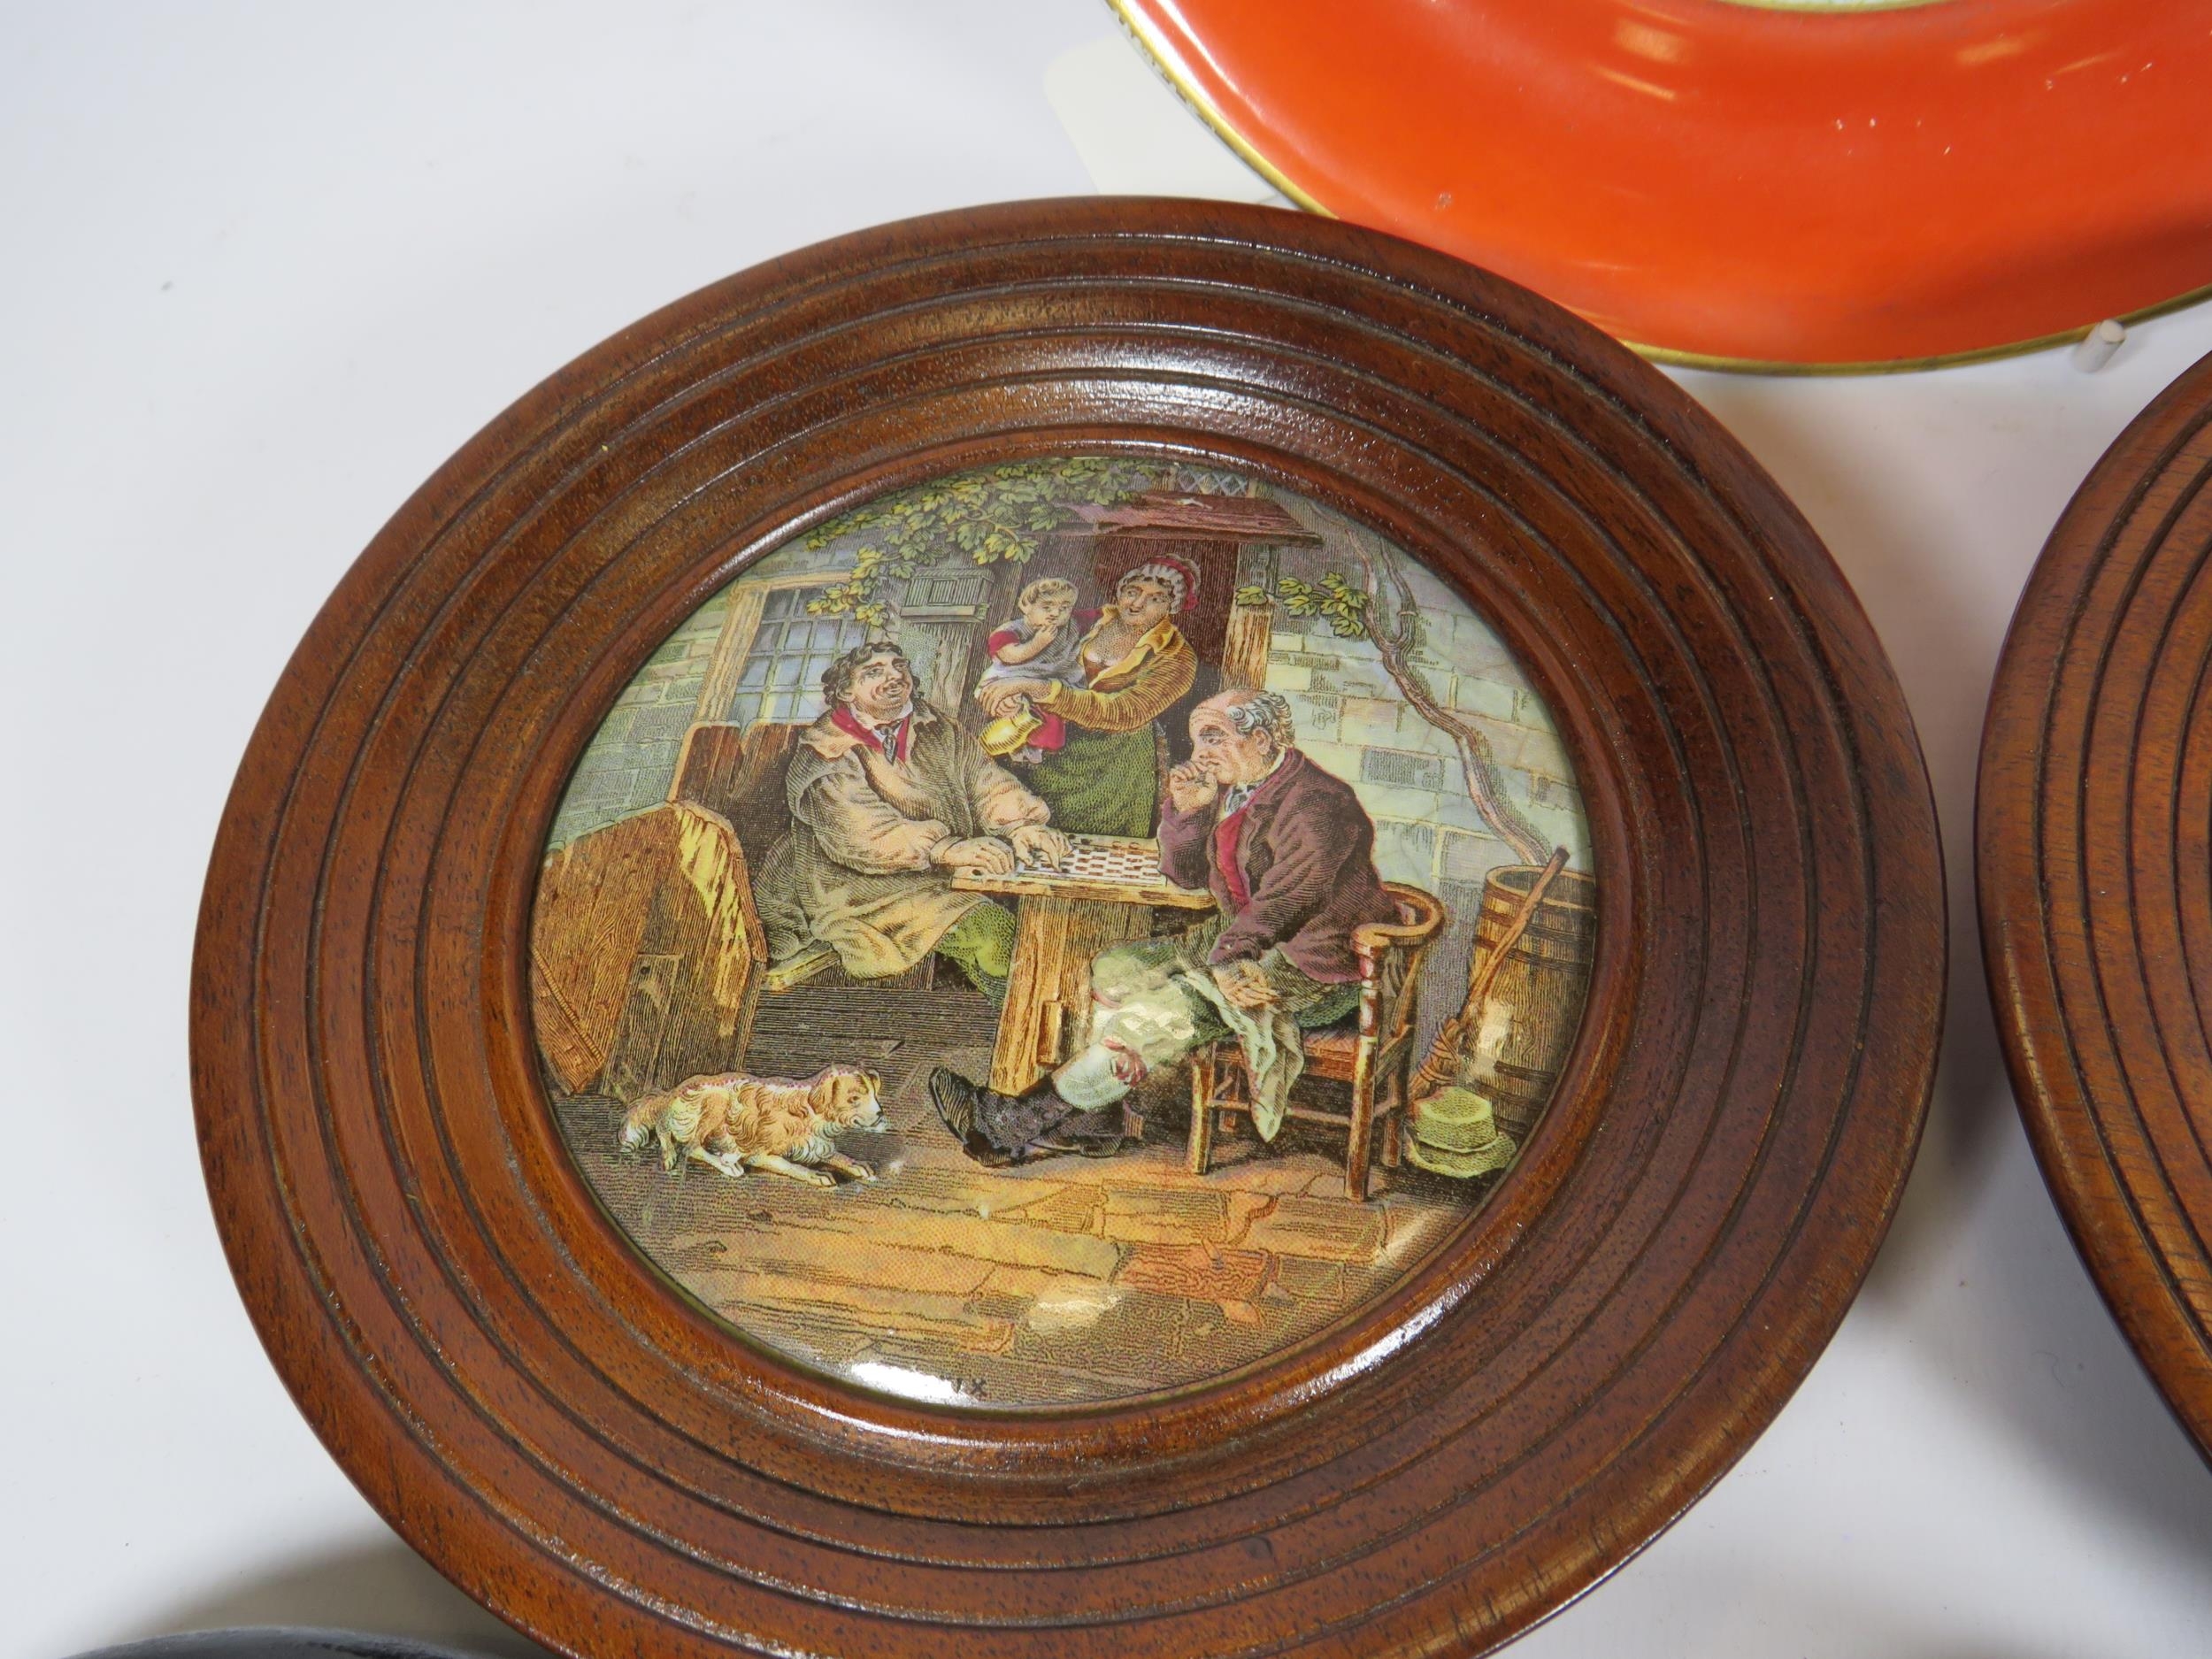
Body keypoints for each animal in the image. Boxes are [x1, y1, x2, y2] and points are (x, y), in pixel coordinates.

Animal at [619, 1064, 884, 1186]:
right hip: (716, 1101)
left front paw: (857, 1164)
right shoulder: (761, 1154)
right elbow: (792, 1166)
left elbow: (838, 1156)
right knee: (685, 1143)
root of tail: (674, 1091)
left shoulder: (817, 1145)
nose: (881, 1114)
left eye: (874, 1094)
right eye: (854, 1098)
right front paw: (817, 1174)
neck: (810, 1112)